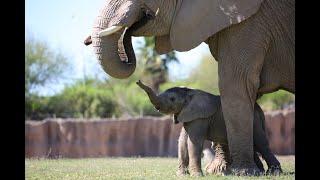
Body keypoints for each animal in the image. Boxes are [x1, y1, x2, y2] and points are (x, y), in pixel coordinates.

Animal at [136, 81, 282, 176]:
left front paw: (196, 176)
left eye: (172, 99)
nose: (138, 81)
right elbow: (182, 141)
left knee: (260, 143)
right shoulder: (188, 114)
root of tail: (260, 110)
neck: (189, 91)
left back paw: (274, 173)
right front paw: (181, 175)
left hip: (253, 121)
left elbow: (194, 142)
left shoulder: (200, 116)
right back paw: (260, 172)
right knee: (253, 145)